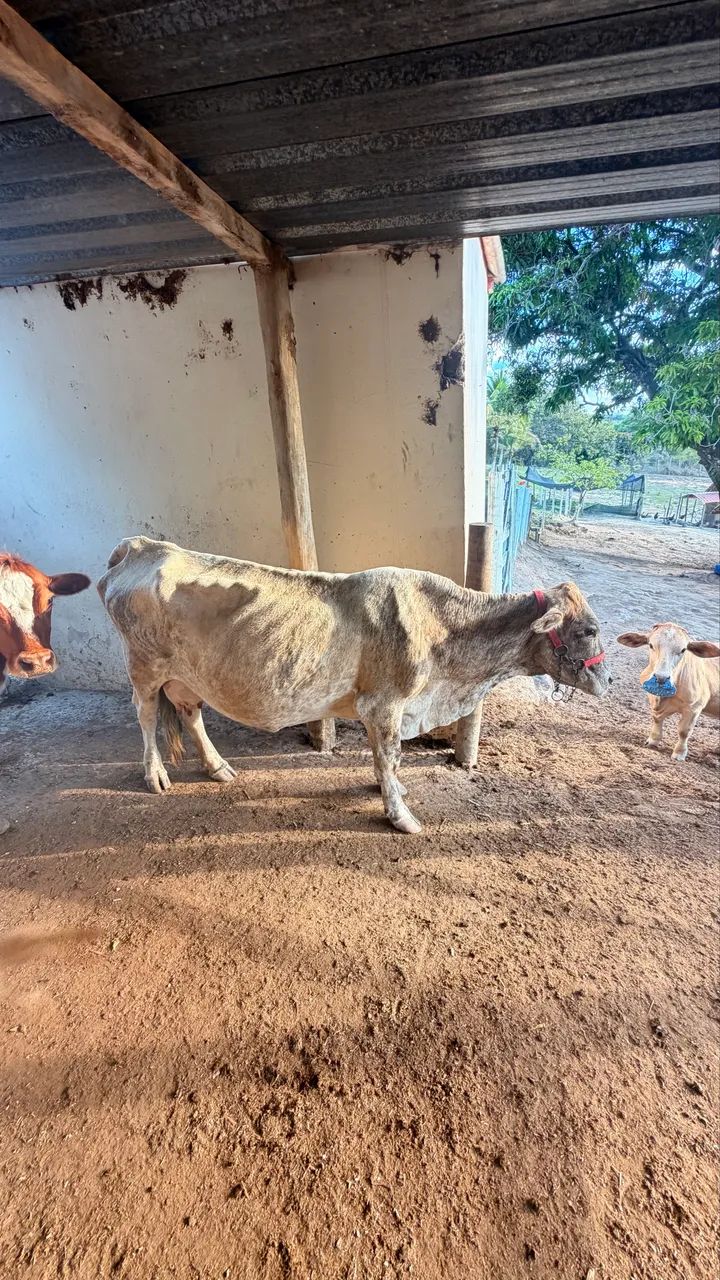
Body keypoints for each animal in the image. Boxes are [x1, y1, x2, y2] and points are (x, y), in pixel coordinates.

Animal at [98, 537, 609, 833]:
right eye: (589, 630)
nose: (607, 678)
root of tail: (142, 545)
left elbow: (387, 760)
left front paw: (395, 793)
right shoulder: (384, 704)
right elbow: (389, 756)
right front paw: (401, 815)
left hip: (187, 675)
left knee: (191, 713)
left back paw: (218, 767)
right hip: (144, 666)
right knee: (146, 715)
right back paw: (155, 775)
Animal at [618, 623, 720, 761]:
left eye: (683, 650)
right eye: (651, 645)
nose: (661, 678)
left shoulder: (695, 707)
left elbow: (684, 731)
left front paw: (679, 753)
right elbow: (656, 719)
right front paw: (652, 741)